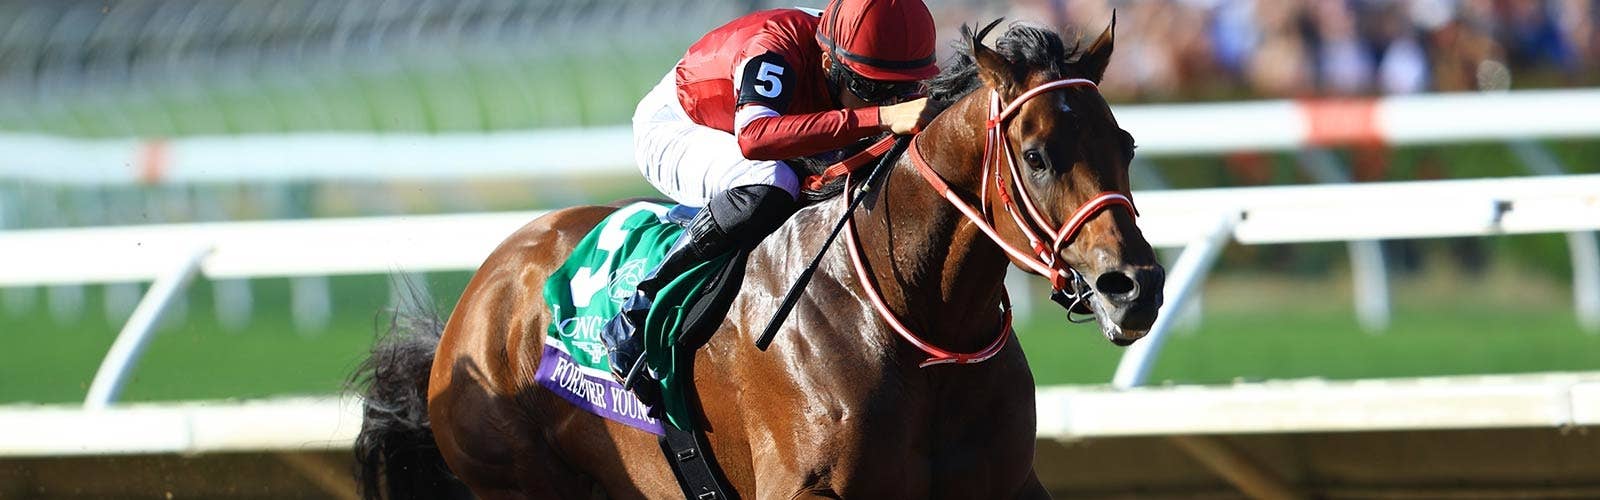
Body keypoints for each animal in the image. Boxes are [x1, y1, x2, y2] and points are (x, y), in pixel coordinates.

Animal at [353, 19, 1163, 499]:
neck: (912, 321)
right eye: (1038, 154)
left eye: (1125, 145)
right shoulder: (802, 489)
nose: (1136, 287)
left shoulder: (1004, 482)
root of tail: (479, 297)